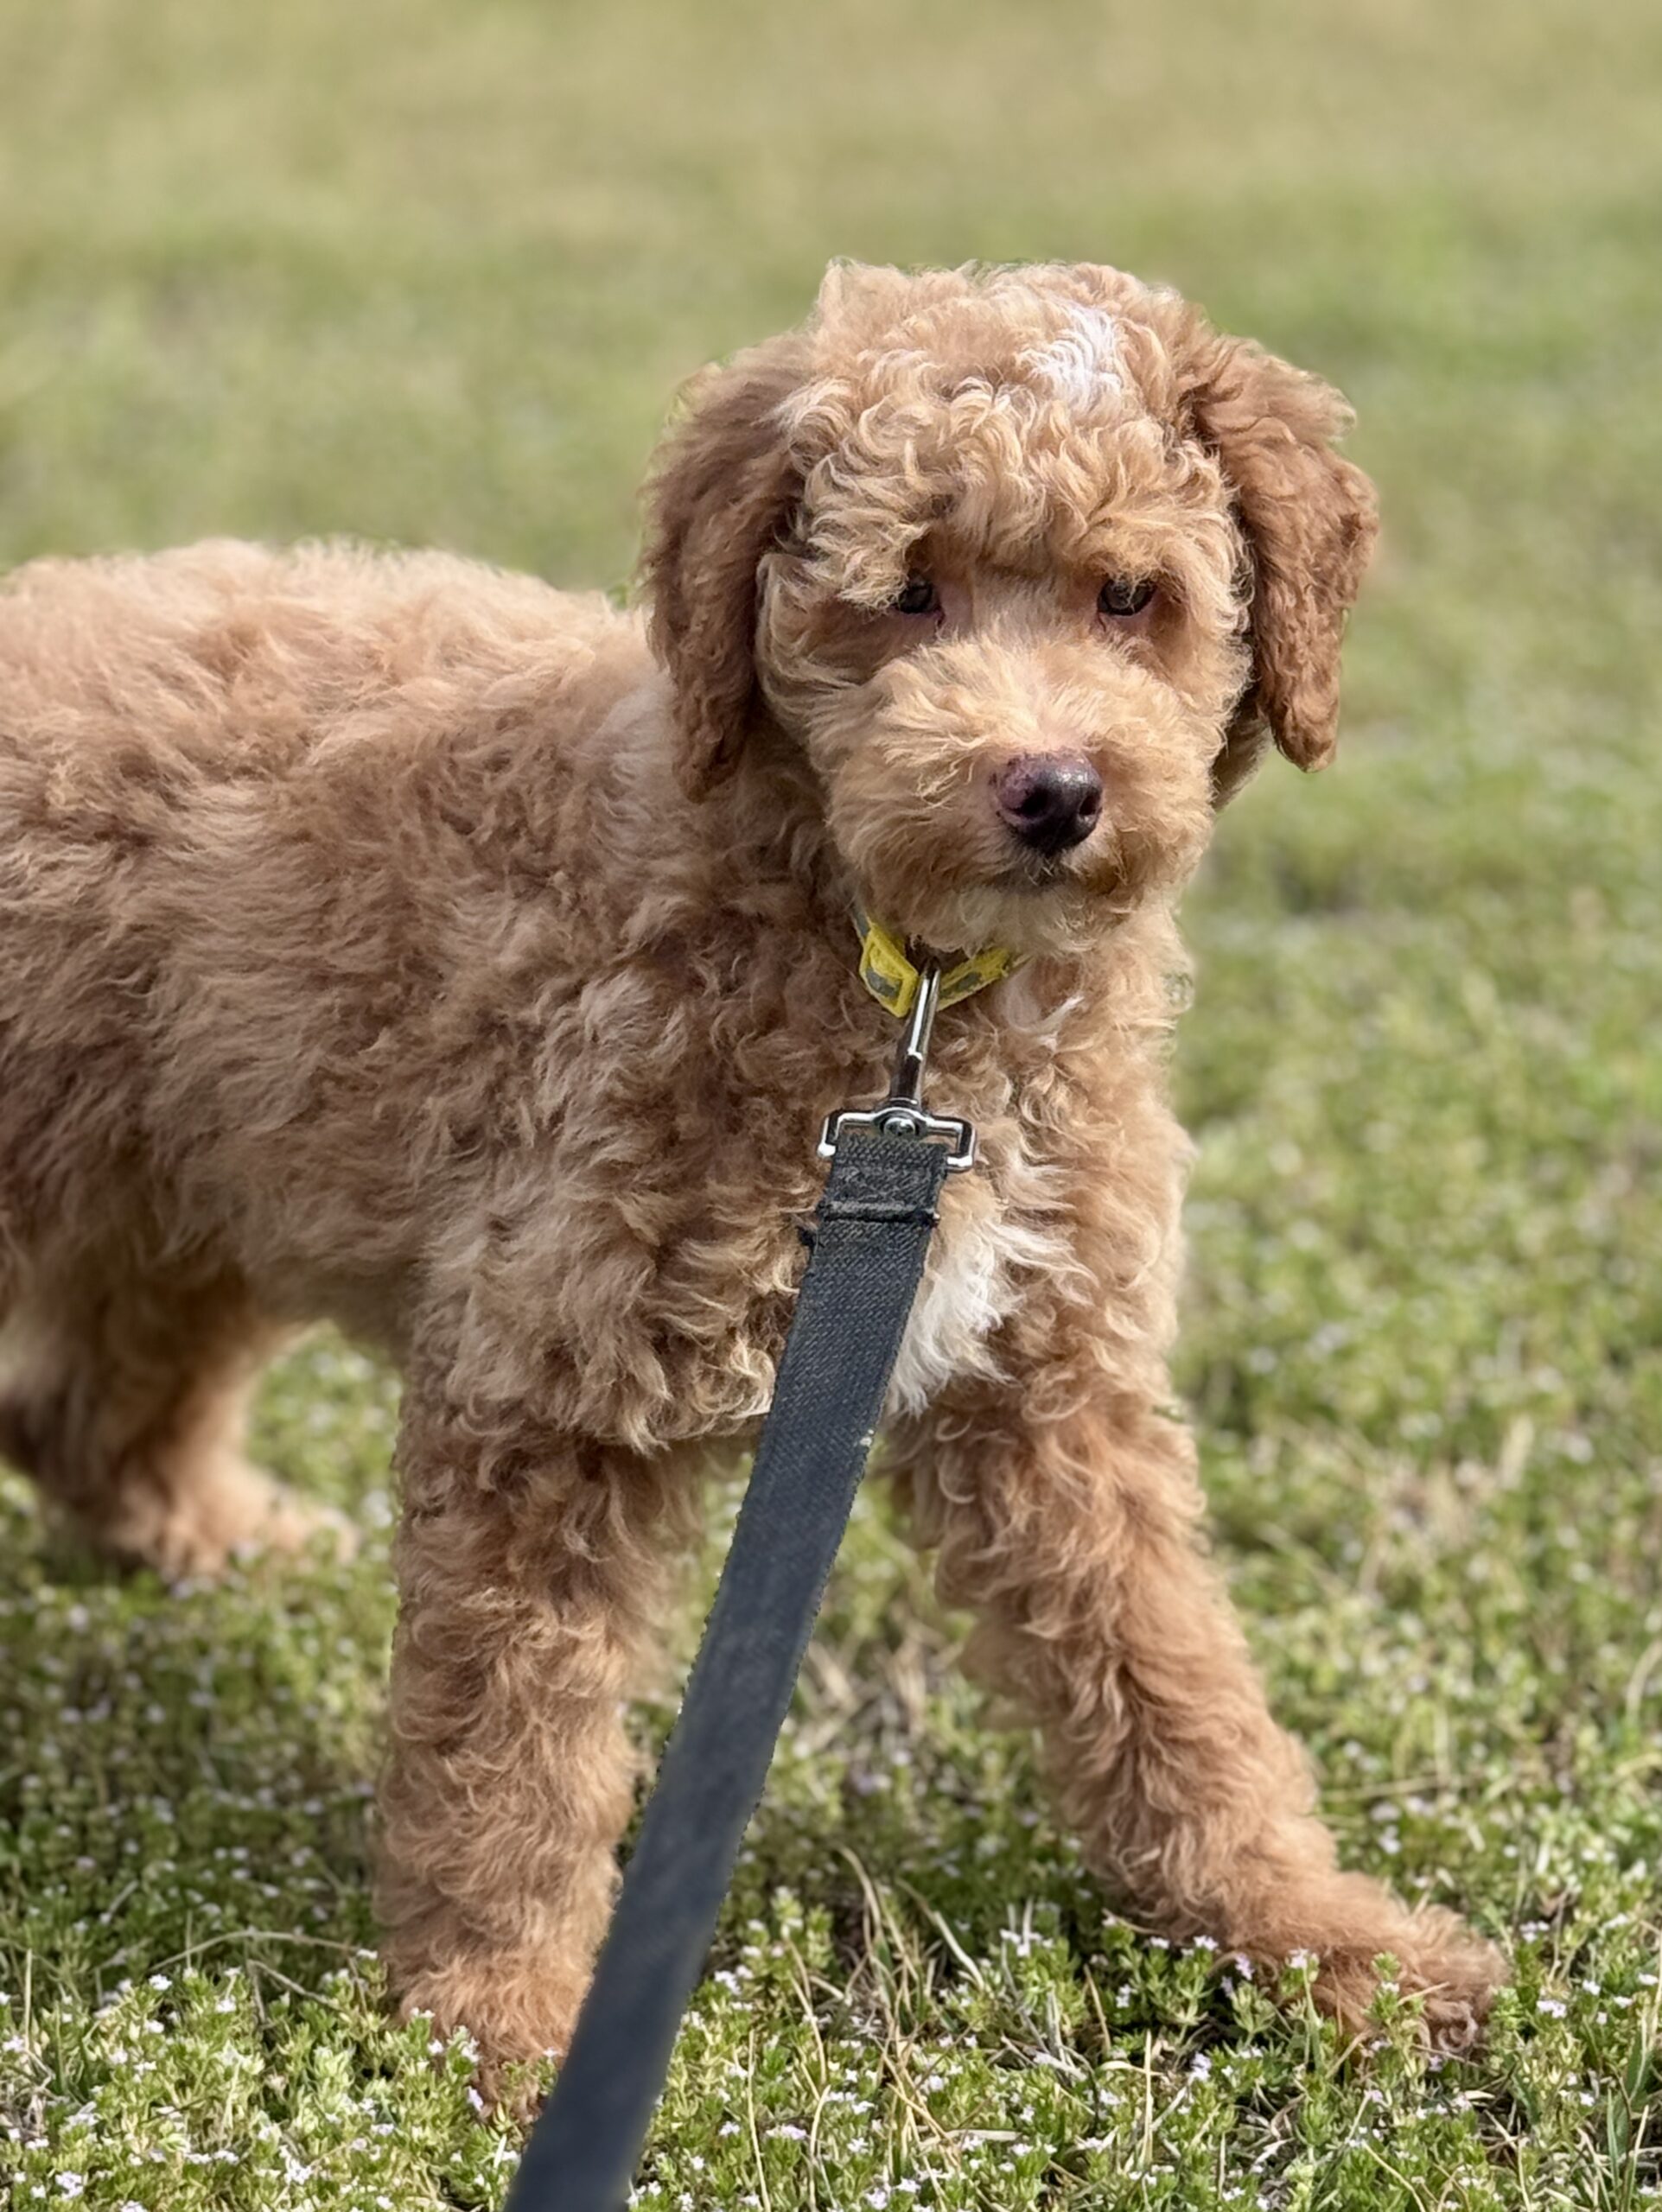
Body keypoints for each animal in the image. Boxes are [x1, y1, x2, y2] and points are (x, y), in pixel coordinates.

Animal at [0, 260, 1505, 2080]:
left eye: (1128, 595)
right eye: (906, 592)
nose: (1051, 792)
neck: (899, 985)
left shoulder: (1046, 1386)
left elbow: (1170, 1680)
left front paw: (1316, 1943)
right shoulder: (545, 1383)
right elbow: (510, 1749)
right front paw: (505, 2023)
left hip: (199, 1168)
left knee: (85, 1404)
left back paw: (217, 1537)